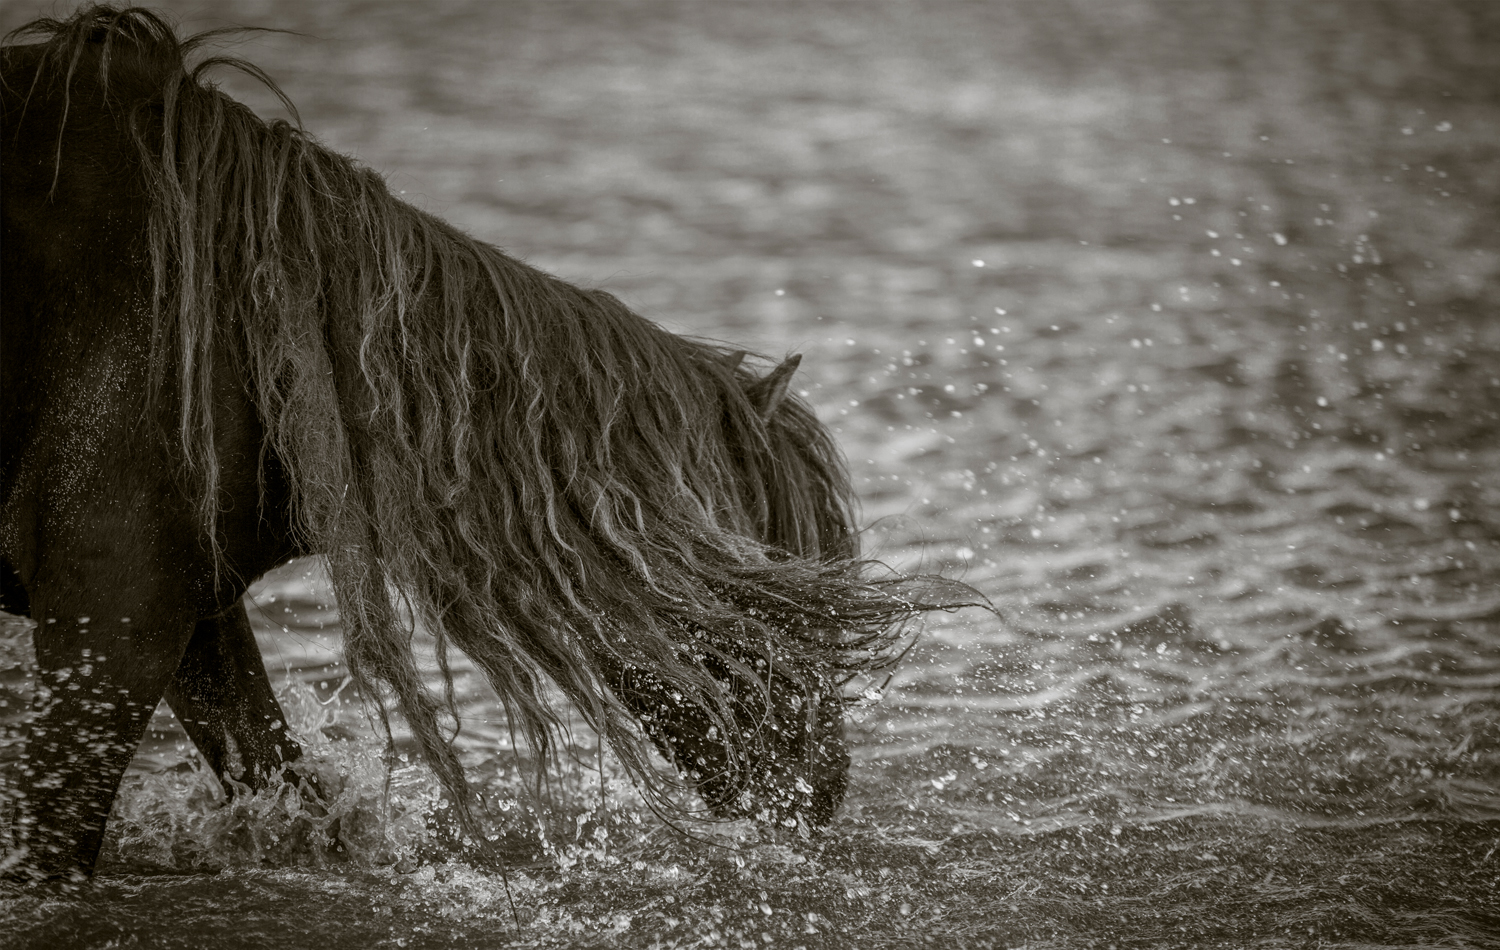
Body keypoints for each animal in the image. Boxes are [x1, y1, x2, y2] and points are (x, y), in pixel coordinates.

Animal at [0, 7, 966, 882]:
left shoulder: (191, 611)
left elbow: (286, 783)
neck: (230, 340)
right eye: (782, 575)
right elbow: (56, 842)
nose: (823, 789)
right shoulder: (107, 612)